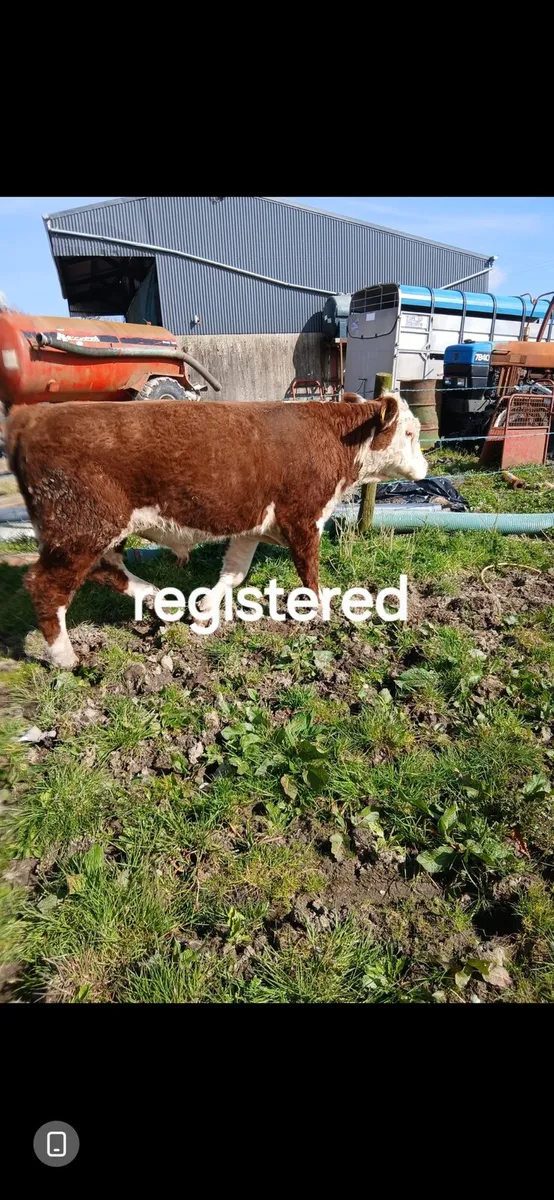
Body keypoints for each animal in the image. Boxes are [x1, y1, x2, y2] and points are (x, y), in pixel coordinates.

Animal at [7, 392, 428, 668]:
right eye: (409, 433)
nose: (424, 468)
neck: (333, 439)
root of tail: (29, 416)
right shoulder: (303, 517)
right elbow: (309, 572)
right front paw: (323, 611)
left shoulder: (253, 524)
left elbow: (235, 572)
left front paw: (205, 610)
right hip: (80, 527)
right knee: (47, 586)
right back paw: (65, 657)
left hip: (95, 531)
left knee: (106, 569)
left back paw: (160, 599)